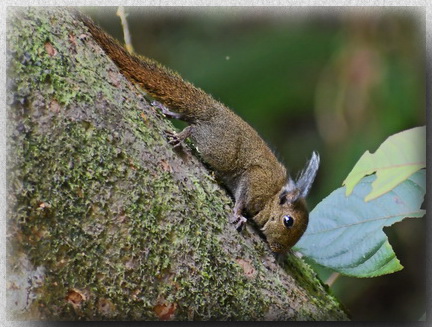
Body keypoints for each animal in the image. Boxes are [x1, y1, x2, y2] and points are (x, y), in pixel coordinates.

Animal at [74, 10, 318, 254]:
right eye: (288, 221)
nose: (278, 249)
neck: (274, 195)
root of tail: (214, 110)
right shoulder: (255, 180)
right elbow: (242, 197)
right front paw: (239, 215)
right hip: (221, 148)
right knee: (194, 129)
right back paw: (180, 137)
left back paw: (166, 111)